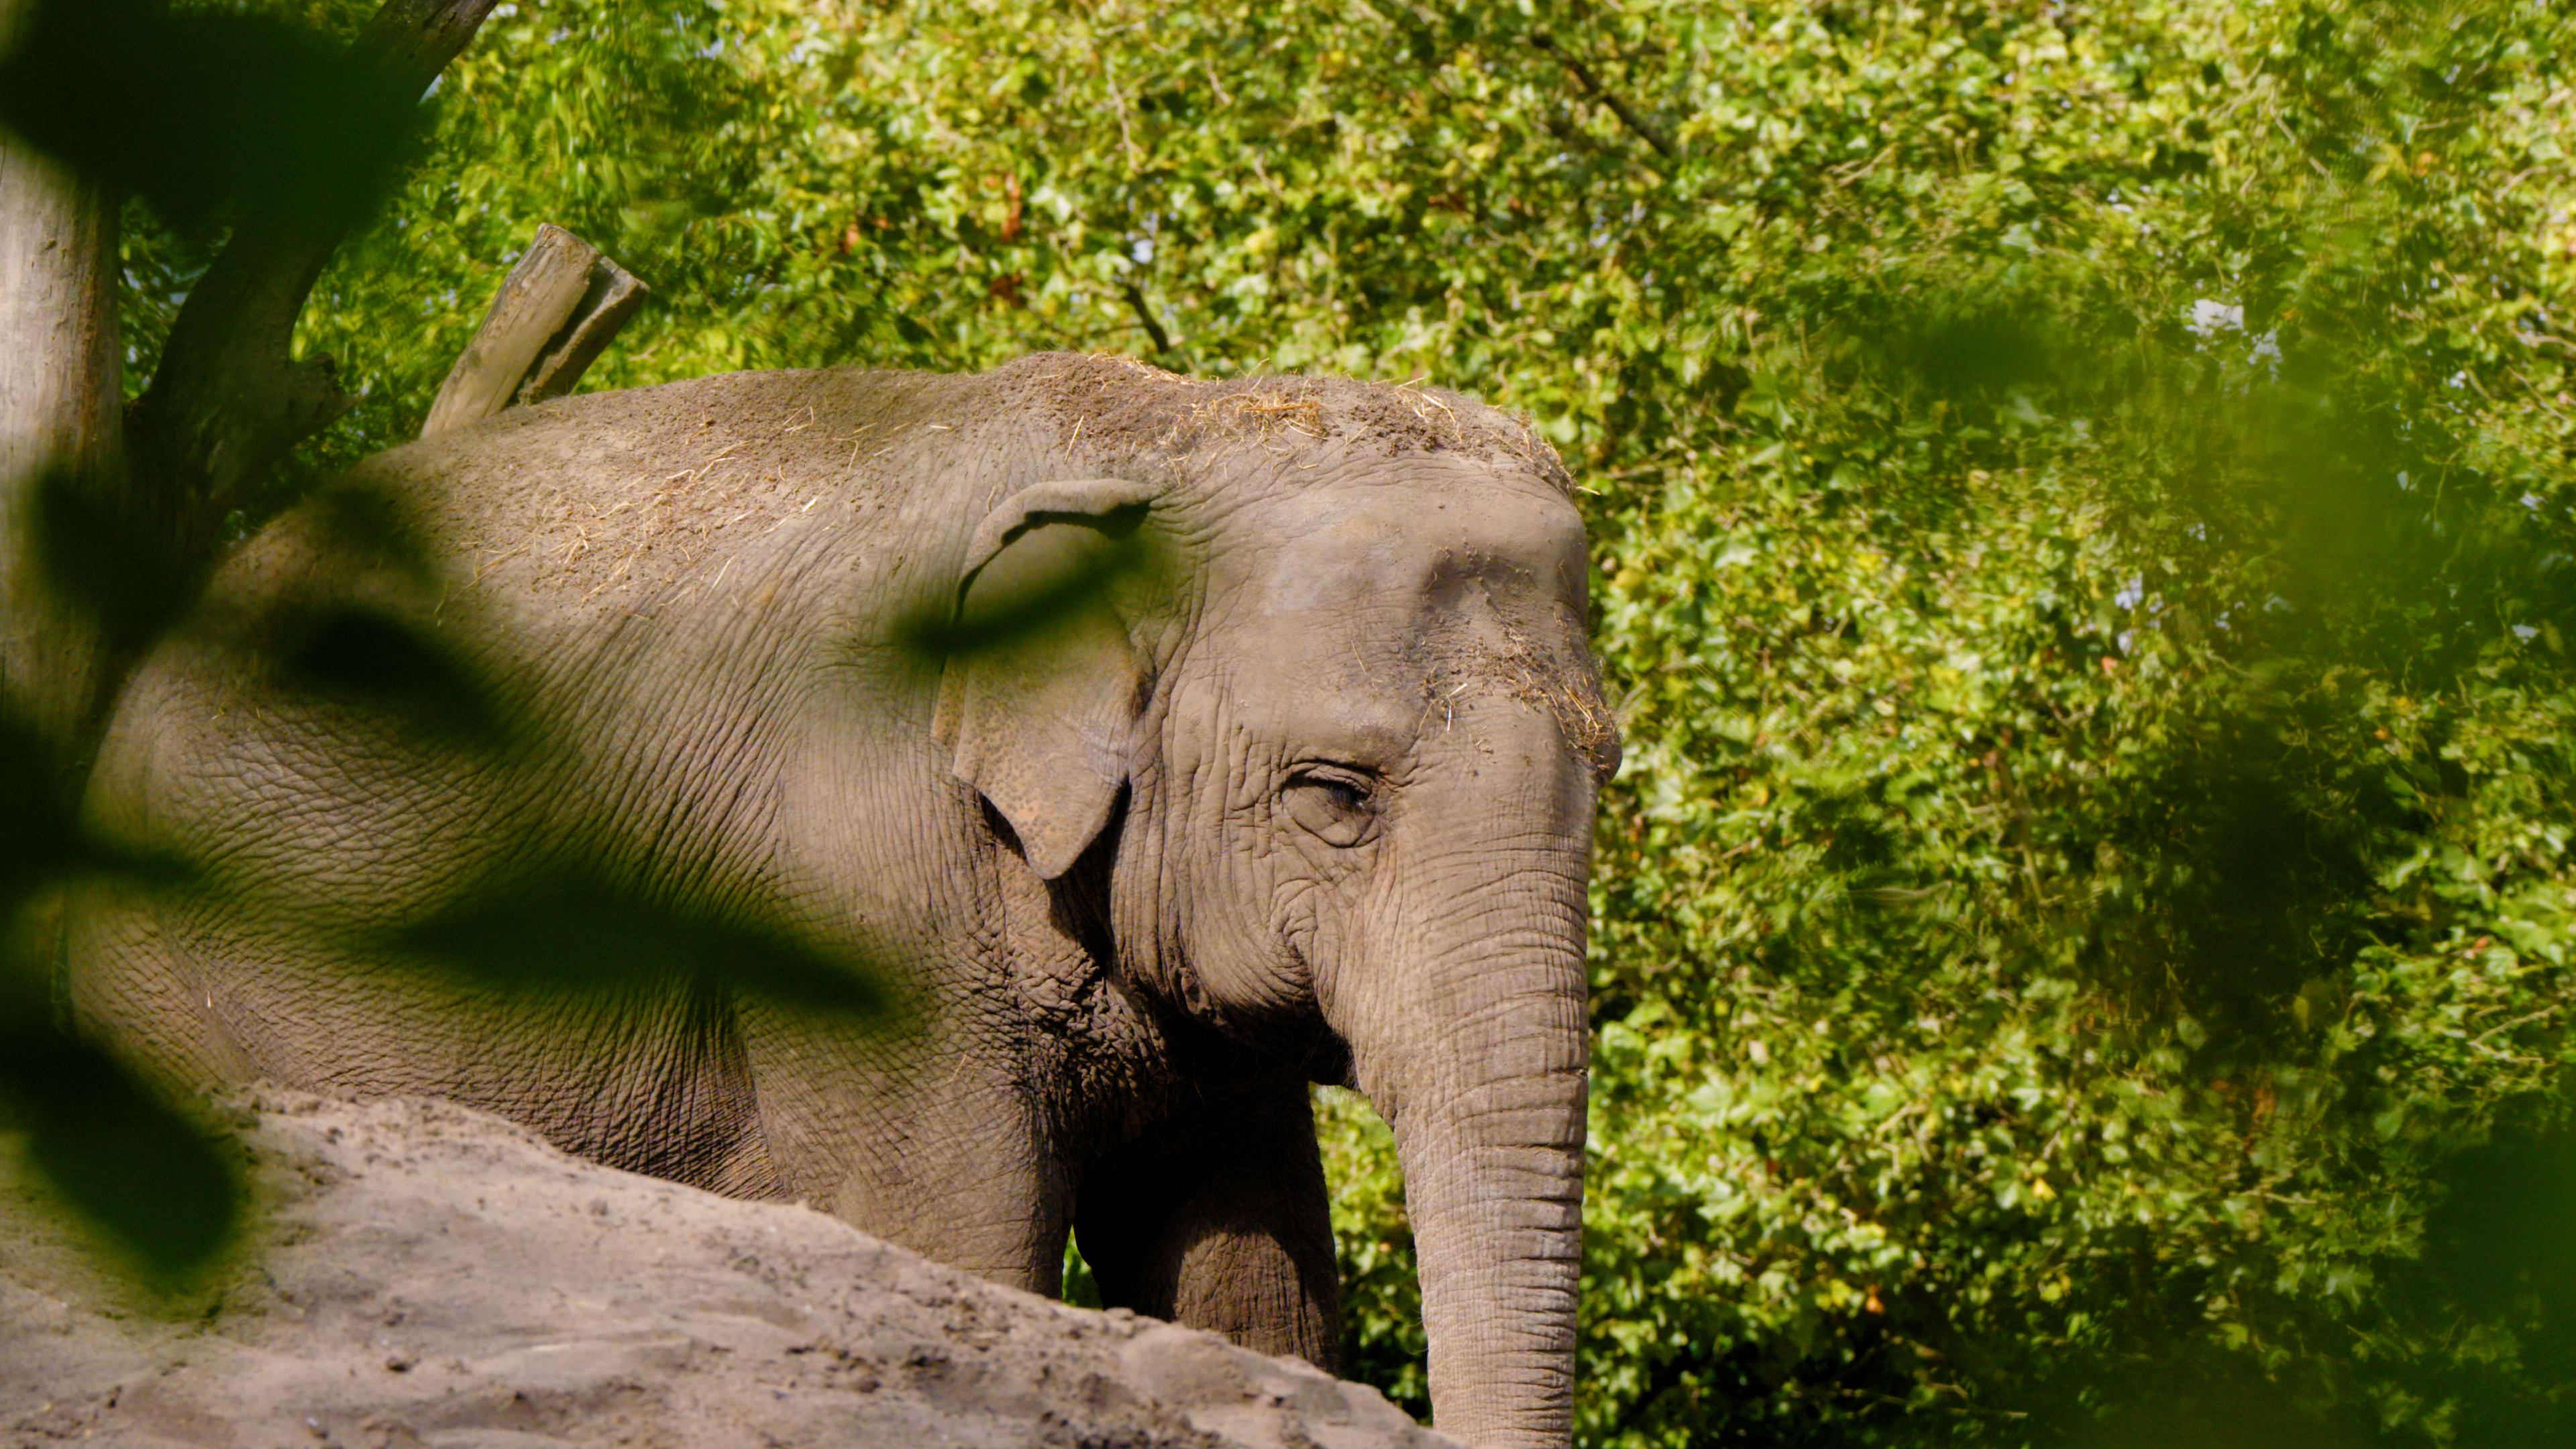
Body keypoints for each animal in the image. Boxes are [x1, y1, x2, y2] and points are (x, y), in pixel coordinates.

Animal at [65, 353, 1607, 1444]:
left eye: (1609, 768)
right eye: (1333, 795)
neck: (1164, 429)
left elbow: (1250, 1284)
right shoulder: (856, 880)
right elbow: (960, 1248)